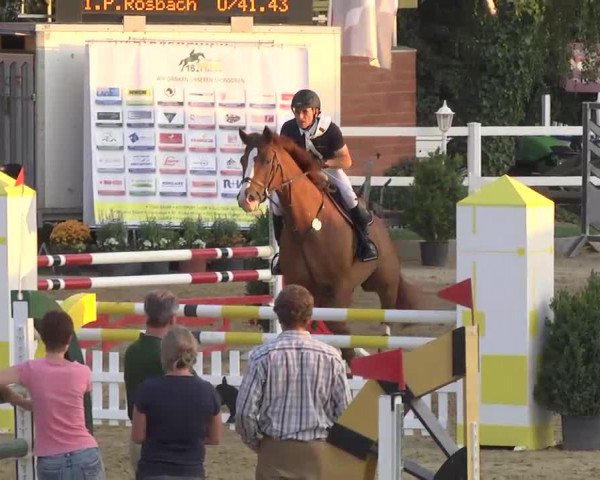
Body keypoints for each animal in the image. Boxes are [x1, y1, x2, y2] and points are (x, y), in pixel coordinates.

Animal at [237, 127, 420, 364]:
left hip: (385, 283)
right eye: (242, 160)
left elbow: (341, 330)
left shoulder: (339, 289)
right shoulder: (302, 286)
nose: (246, 199)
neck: (308, 226)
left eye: (267, 160)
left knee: (386, 321)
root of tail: (381, 221)